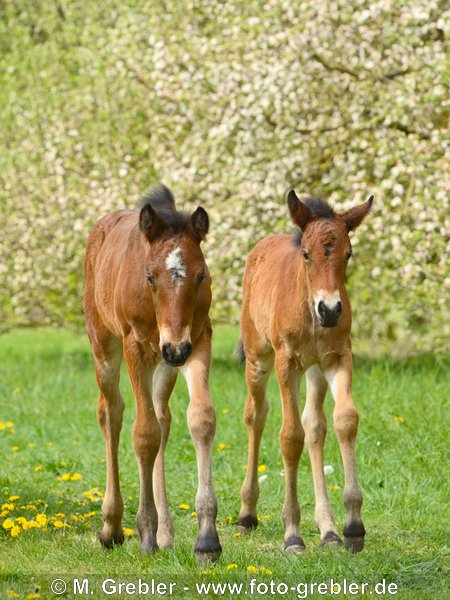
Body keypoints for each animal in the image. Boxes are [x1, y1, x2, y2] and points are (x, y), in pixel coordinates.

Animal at [236, 191, 372, 552]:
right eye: (306, 254)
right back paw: (247, 514)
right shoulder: (287, 362)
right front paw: (292, 534)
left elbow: (345, 420)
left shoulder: (337, 357)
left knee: (315, 426)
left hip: (315, 371)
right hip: (258, 357)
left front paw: (352, 526)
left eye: (348, 254)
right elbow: (289, 435)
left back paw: (328, 529)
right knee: (256, 415)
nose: (331, 309)